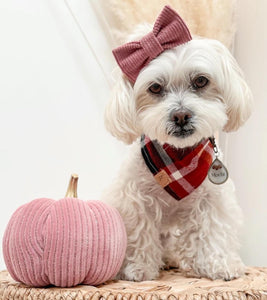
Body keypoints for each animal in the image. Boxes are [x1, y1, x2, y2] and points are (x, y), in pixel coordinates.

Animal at [102, 7, 253, 284]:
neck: (178, 162)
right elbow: (140, 233)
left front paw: (220, 264)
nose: (181, 116)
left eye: (201, 81)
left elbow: (212, 231)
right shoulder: (134, 200)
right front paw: (137, 268)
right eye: (155, 87)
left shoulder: (212, 201)